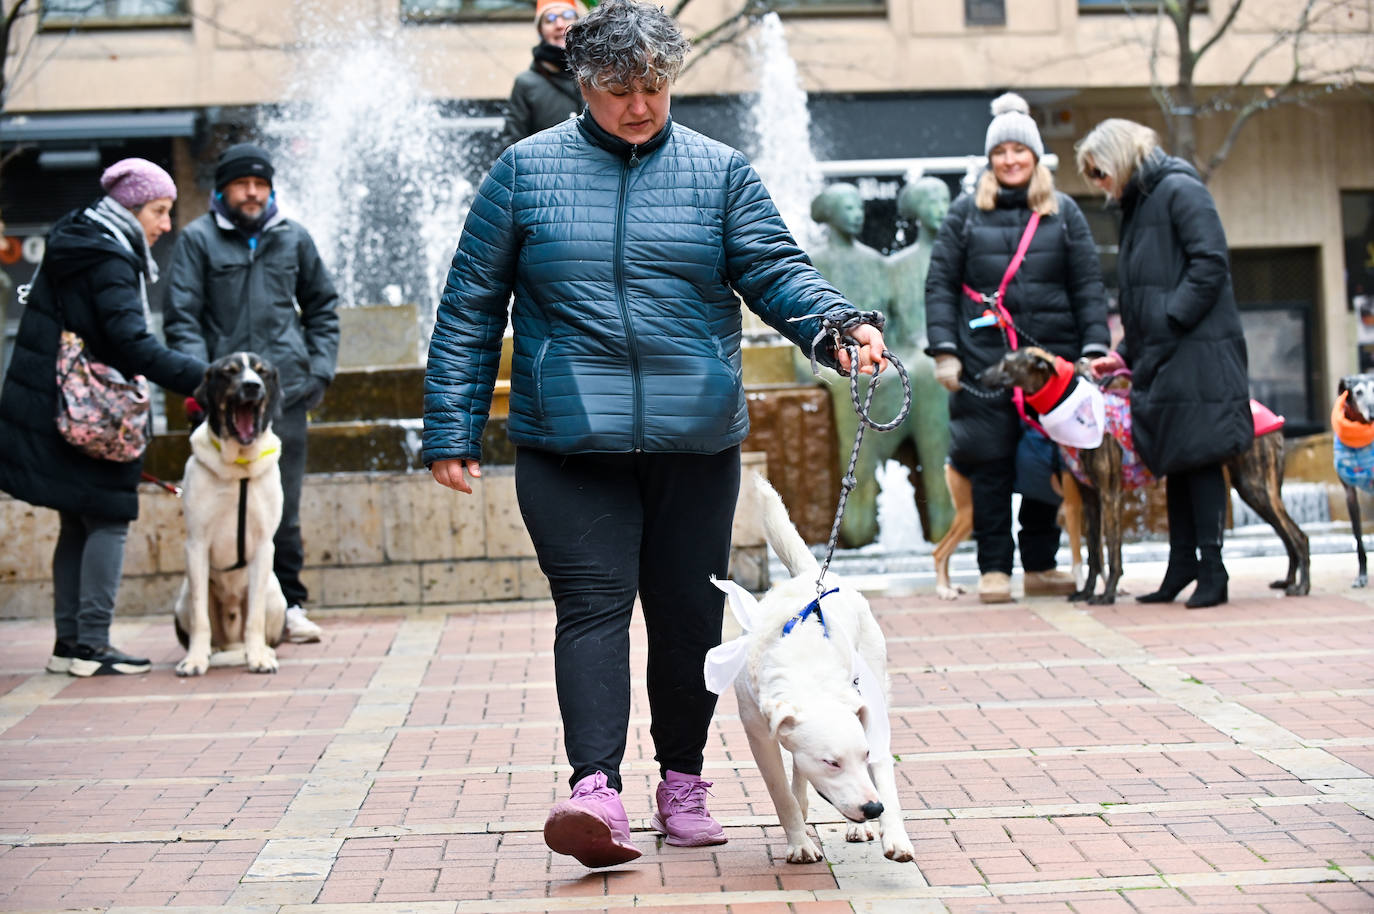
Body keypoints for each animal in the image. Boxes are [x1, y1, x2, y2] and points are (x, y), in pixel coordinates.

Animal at [173, 351, 288, 673]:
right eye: (230, 372)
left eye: (262, 372)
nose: (252, 385)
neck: (239, 466)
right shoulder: (196, 545)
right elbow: (200, 616)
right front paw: (195, 660)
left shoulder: (263, 546)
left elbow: (255, 618)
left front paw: (258, 657)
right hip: (182, 599)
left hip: (276, 595)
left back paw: (262, 650)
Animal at [708, 472, 912, 868]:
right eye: (831, 762)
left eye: (863, 755)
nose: (872, 808)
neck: (807, 668)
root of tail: (812, 576)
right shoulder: (759, 734)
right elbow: (781, 794)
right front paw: (799, 842)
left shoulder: (871, 722)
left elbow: (885, 777)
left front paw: (894, 835)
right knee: (797, 774)